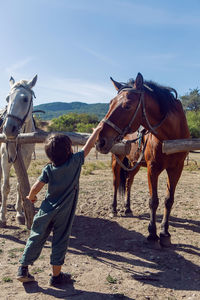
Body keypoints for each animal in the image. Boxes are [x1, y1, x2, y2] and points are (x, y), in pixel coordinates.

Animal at [97, 72, 191, 246]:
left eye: (127, 105)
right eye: (110, 103)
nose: (100, 141)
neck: (170, 136)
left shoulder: (176, 169)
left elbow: (169, 200)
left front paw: (165, 232)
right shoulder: (153, 169)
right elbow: (153, 201)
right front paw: (152, 233)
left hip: (135, 163)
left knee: (128, 182)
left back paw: (127, 208)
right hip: (116, 160)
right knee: (115, 183)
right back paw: (114, 208)